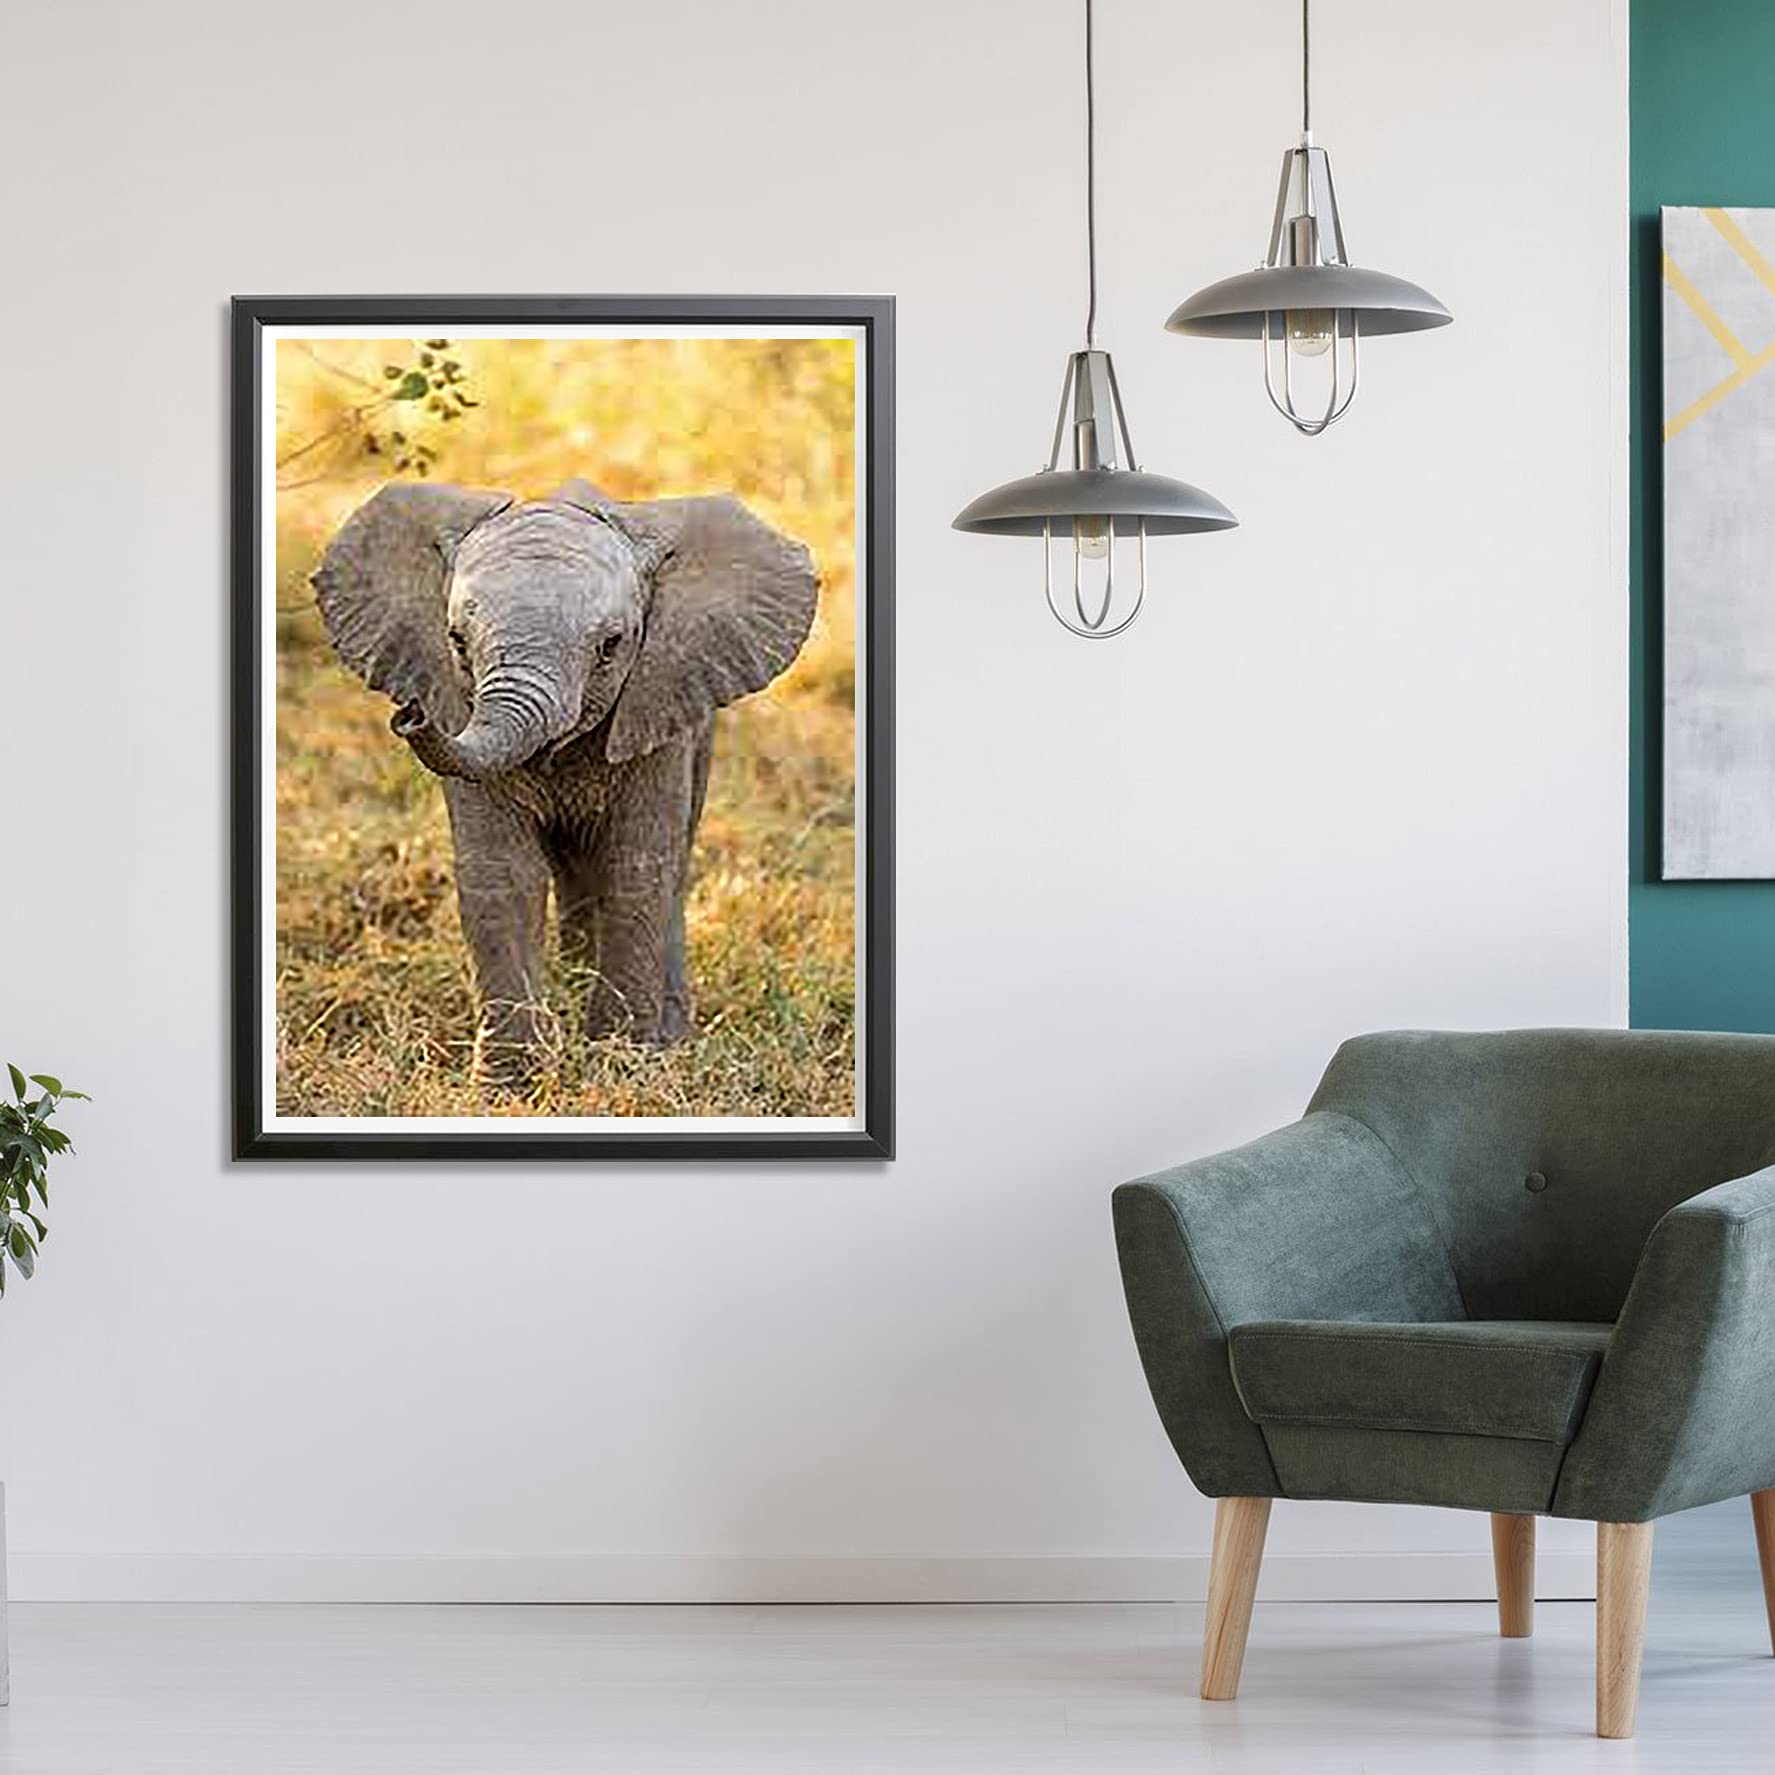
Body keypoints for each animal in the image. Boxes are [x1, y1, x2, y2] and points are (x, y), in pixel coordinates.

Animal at [312, 477, 816, 1080]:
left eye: (611, 645)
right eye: (456, 640)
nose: (411, 713)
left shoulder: (660, 714)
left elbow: (636, 867)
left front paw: (619, 1061)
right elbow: (504, 874)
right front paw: (513, 1078)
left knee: (669, 861)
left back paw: (666, 1032)